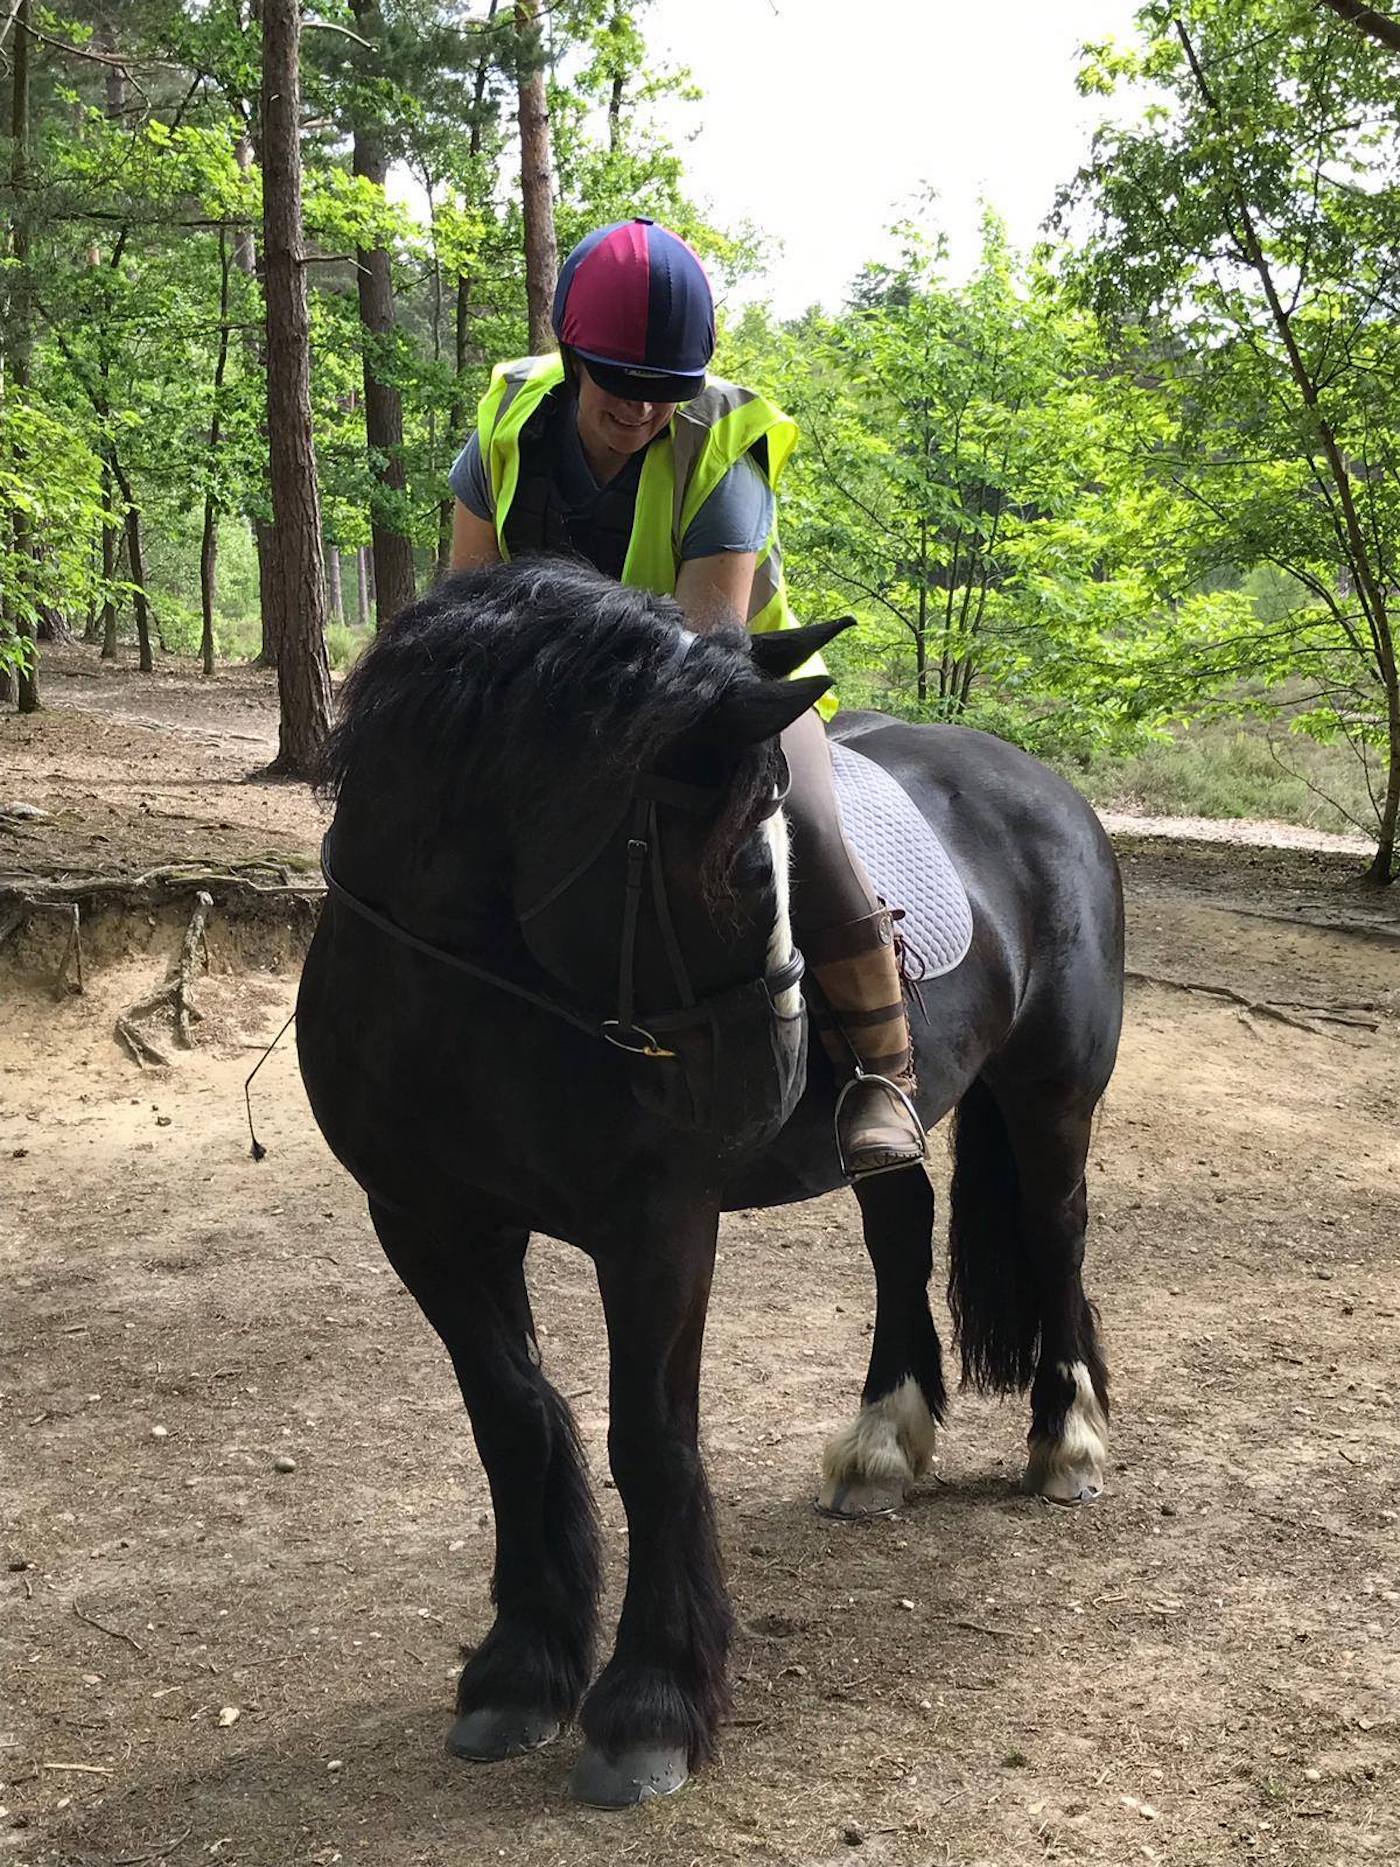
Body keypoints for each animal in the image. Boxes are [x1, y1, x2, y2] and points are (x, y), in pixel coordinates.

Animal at [296, 558, 1124, 1807]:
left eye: (783, 857)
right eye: (720, 863)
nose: (759, 1093)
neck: (463, 994)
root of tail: (1045, 789)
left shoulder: (657, 1226)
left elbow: (649, 1441)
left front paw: (649, 1704)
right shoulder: (427, 1223)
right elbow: (512, 1423)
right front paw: (520, 1670)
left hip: (1050, 1095)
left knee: (1054, 1233)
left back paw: (1064, 1438)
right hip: (892, 1131)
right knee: (901, 1231)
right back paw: (882, 1444)